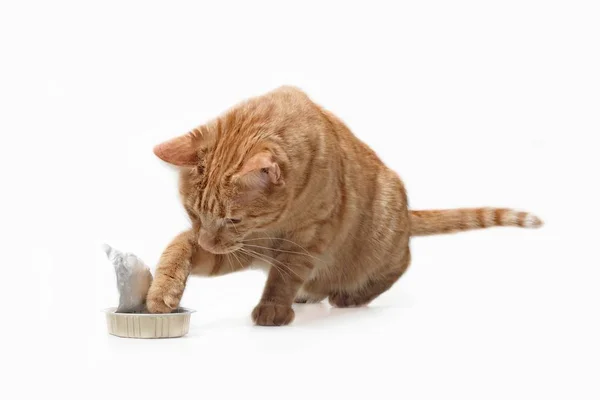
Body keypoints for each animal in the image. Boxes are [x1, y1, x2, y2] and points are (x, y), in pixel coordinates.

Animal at [146, 86, 544, 324]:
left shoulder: (305, 239)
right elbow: (178, 246)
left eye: (233, 220)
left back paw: (349, 296)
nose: (209, 240)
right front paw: (162, 290)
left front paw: (273, 308)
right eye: (193, 213)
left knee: (400, 263)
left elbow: (284, 277)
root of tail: (405, 213)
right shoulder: (243, 249)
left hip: (384, 226)